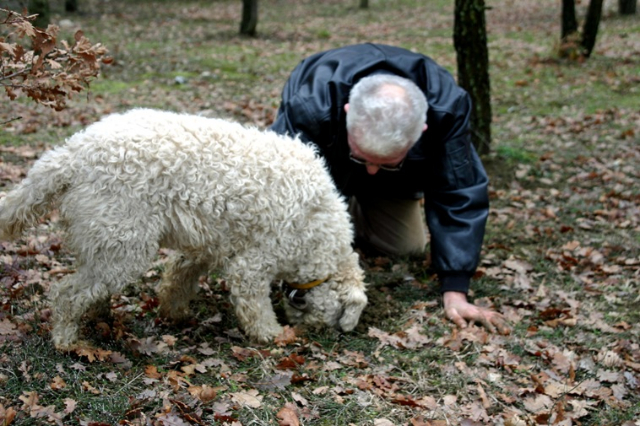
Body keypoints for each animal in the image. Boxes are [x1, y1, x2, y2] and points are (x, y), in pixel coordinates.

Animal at [0, 109, 368, 350]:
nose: (311, 330)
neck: (320, 230)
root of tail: (72, 153)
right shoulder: (252, 265)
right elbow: (255, 307)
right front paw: (271, 334)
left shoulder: (203, 246)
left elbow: (177, 279)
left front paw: (174, 313)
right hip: (123, 246)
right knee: (66, 293)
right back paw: (66, 340)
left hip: (106, 241)